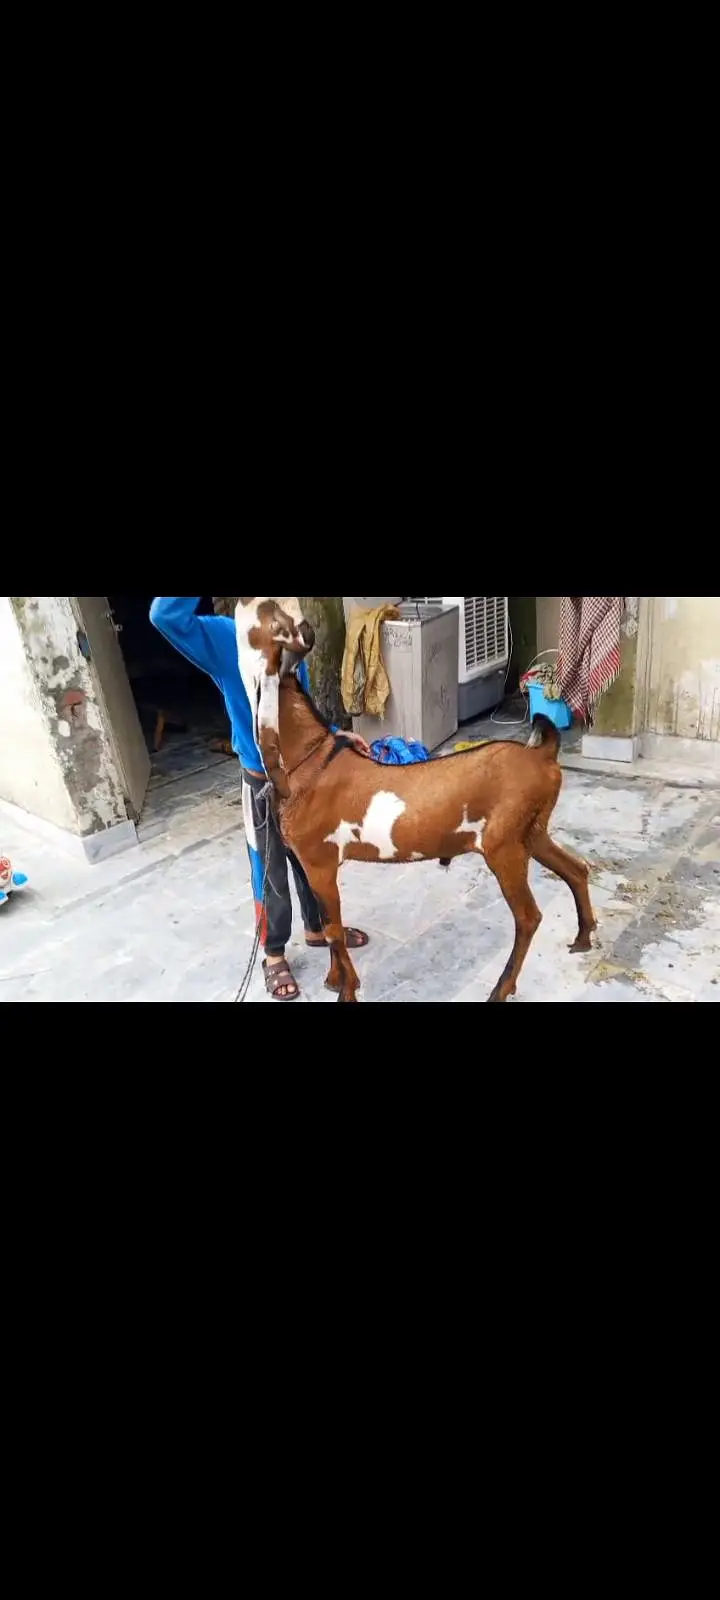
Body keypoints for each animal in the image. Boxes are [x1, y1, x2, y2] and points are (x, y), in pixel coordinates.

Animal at [236, 599, 597, 1003]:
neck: (311, 759)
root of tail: (542, 755)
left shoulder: (320, 864)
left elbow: (334, 931)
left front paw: (347, 990)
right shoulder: (307, 863)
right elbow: (329, 927)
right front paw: (333, 979)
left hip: (503, 845)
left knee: (528, 917)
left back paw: (501, 988)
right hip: (531, 832)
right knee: (575, 869)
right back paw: (583, 938)